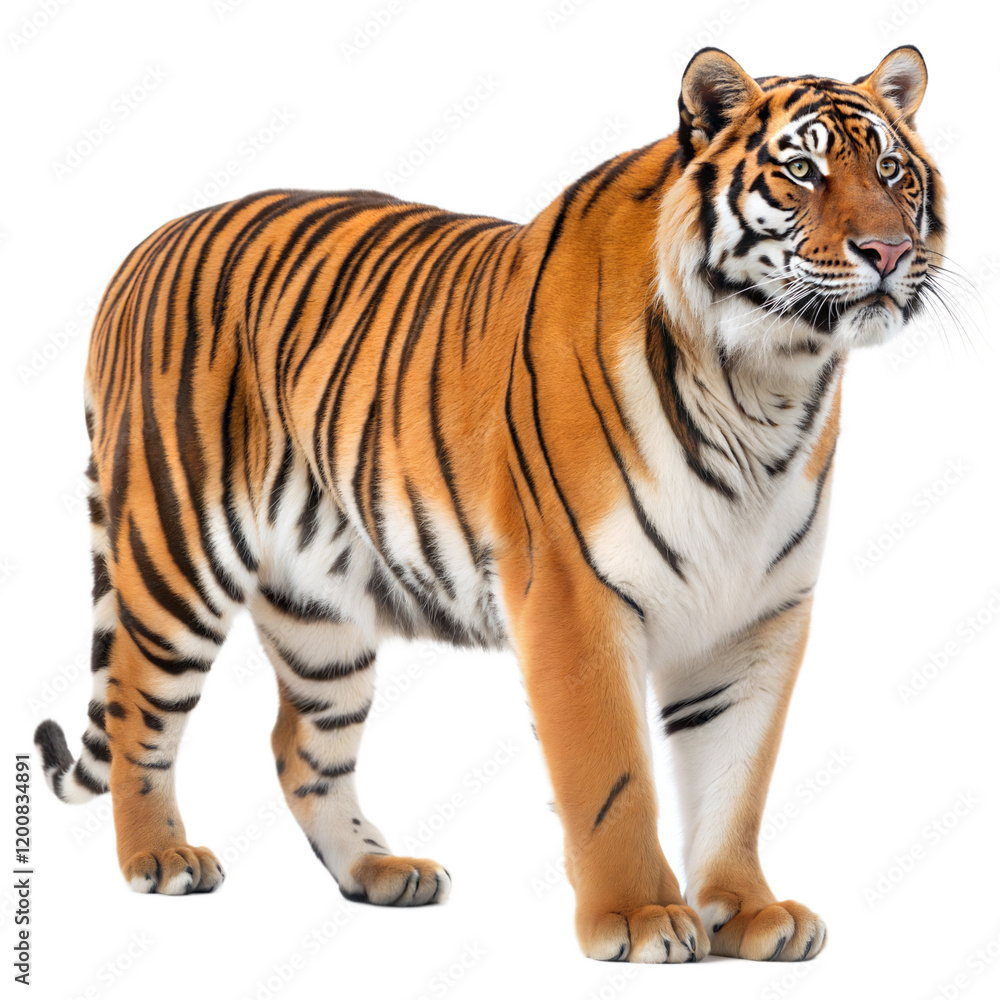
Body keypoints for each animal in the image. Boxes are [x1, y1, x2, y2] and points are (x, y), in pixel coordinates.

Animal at [34, 44, 944, 964]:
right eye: (802, 172)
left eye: (892, 172)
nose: (888, 250)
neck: (766, 383)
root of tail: (141, 249)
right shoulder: (575, 597)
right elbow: (612, 777)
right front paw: (640, 916)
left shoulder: (759, 614)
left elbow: (737, 779)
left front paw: (750, 912)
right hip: (173, 555)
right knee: (137, 711)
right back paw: (162, 857)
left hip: (318, 610)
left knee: (299, 745)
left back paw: (378, 872)